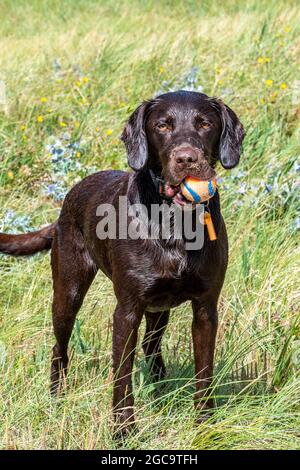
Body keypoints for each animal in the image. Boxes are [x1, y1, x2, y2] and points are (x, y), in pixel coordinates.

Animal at [0, 91, 244, 436]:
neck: (173, 221)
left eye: (205, 124)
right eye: (162, 125)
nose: (186, 159)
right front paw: (123, 430)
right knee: (59, 348)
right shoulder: (127, 310)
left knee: (151, 347)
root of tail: (67, 201)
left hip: (158, 309)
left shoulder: (205, 308)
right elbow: (122, 376)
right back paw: (56, 398)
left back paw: (159, 389)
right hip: (68, 293)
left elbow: (204, 372)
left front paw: (204, 425)